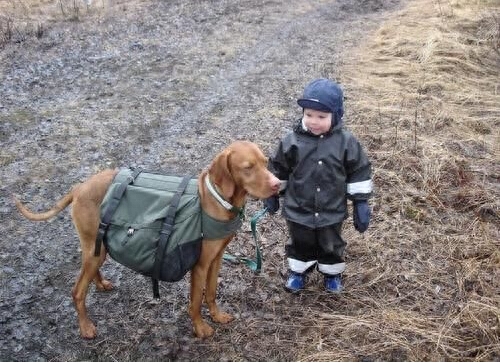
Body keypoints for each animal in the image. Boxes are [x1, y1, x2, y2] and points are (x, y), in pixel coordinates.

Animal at [14, 141, 282, 340]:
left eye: (265, 162)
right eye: (247, 167)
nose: (278, 185)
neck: (217, 200)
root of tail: (78, 188)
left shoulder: (216, 260)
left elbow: (212, 293)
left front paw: (217, 316)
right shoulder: (199, 265)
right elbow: (196, 301)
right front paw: (200, 328)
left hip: (97, 248)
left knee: (89, 272)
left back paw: (100, 284)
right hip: (94, 248)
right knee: (77, 291)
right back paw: (86, 327)